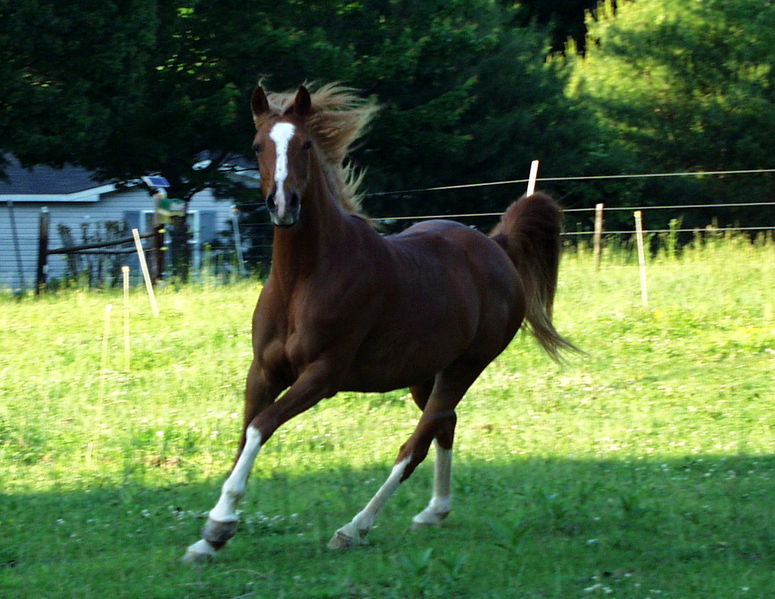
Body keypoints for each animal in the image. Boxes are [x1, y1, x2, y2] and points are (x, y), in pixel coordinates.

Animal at [185, 83, 580, 564]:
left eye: (305, 145)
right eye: (258, 145)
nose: (283, 205)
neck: (303, 278)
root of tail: (497, 246)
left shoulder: (322, 376)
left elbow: (261, 426)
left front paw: (218, 526)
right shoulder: (263, 371)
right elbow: (246, 434)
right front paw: (208, 539)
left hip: (465, 367)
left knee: (415, 446)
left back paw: (354, 529)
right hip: (424, 374)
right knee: (444, 424)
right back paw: (434, 512)